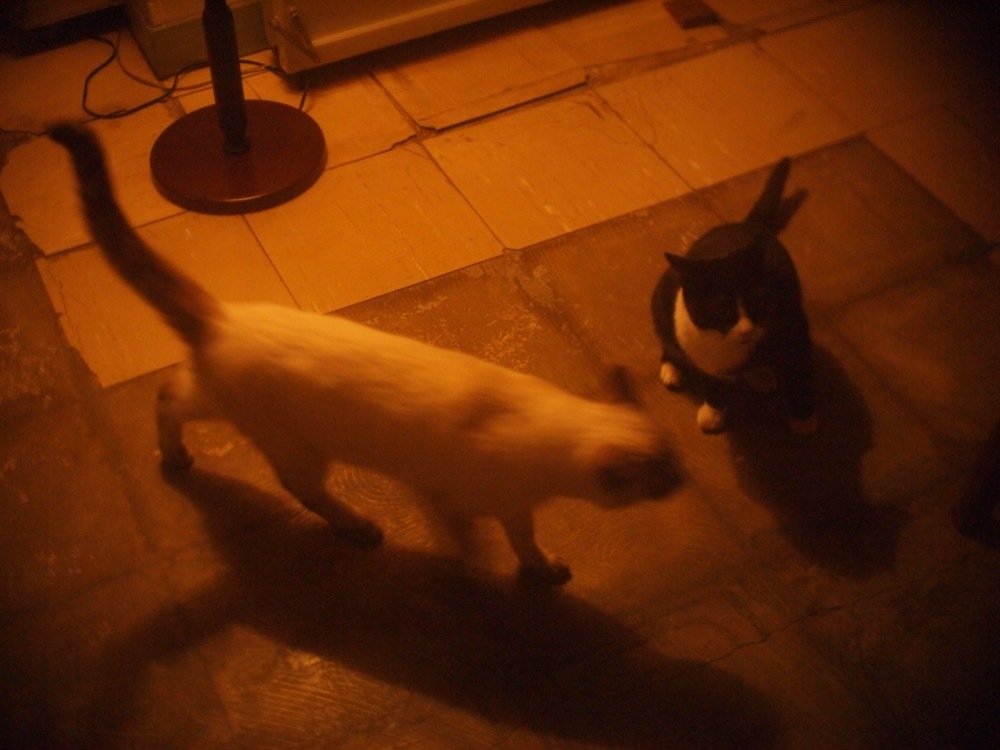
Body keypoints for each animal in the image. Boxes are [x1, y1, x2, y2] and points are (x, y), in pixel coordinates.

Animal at [51, 123, 678, 586]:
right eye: (664, 476)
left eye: (675, 464)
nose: (685, 482)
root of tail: (224, 318)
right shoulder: (470, 499)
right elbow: (495, 543)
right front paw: (514, 572)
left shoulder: (491, 499)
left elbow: (508, 536)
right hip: (293, 444)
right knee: (294, 484)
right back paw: (357, 528)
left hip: (223, 402)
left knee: (169, 394)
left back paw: (177, 457)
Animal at [651, 157, 817, 436]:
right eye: (720, 307)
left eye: (759, 300)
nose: (747, 329)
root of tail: (746, 224)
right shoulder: (702, 352)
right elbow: (712, 380)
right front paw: (713, 412)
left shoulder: (796, 331)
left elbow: (800, 373)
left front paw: (803, 416)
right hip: (661, 297)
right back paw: (672, 368)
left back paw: (763, 375)